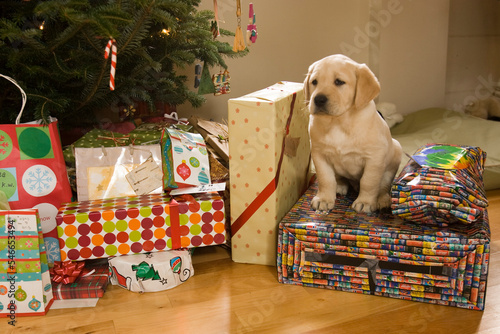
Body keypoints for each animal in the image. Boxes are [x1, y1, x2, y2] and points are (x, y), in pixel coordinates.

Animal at [304, 53, 402, 213]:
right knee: (339, 178)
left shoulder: (374, 157)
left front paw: (365, 202)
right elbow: (326, 179)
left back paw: (383, 200)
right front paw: (324, 198)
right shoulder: (319, 154)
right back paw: (340, 186)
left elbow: (369, 181)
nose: (318, 99)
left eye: (339, 82)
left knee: (384, 184)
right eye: (314, 82)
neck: (338, 122)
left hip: (395, 152)